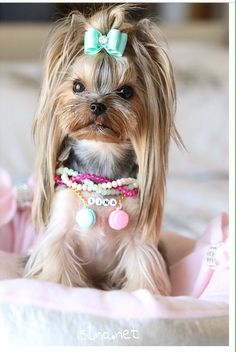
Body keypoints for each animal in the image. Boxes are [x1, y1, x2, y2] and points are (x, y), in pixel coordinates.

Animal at [23, 4, 181, 294]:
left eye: (126, 91)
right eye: (77, 86)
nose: (97, 105)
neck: (101, 155)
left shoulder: (139, 240)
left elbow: (143, 271)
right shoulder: (59, 231)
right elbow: (57, 268)